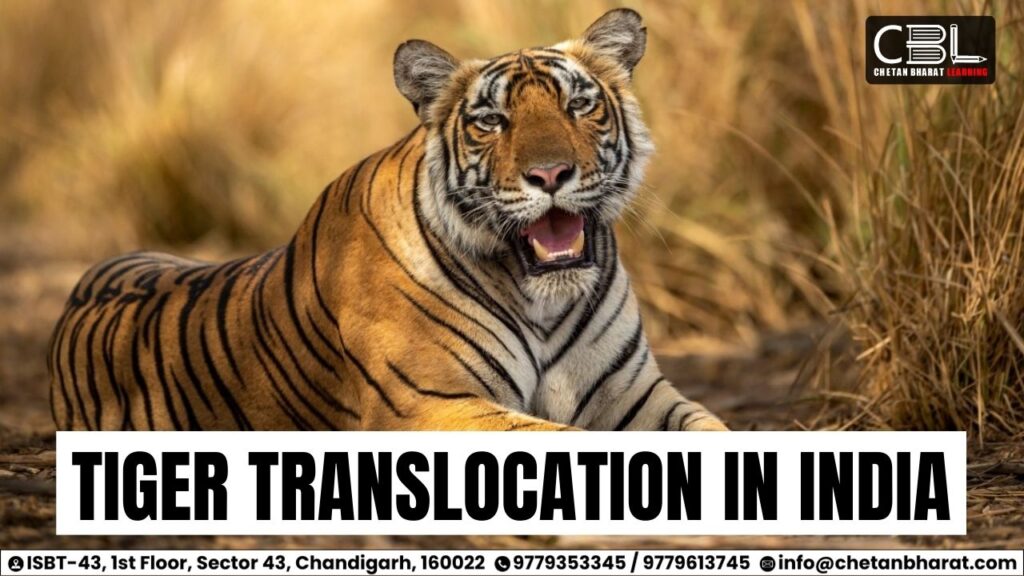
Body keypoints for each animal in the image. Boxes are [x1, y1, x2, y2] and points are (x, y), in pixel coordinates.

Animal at [48, 9, 728, 433]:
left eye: (579, 106)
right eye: (491, 121)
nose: (551, 174)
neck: (541, 299)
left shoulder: (636, 395)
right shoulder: (432, 403)